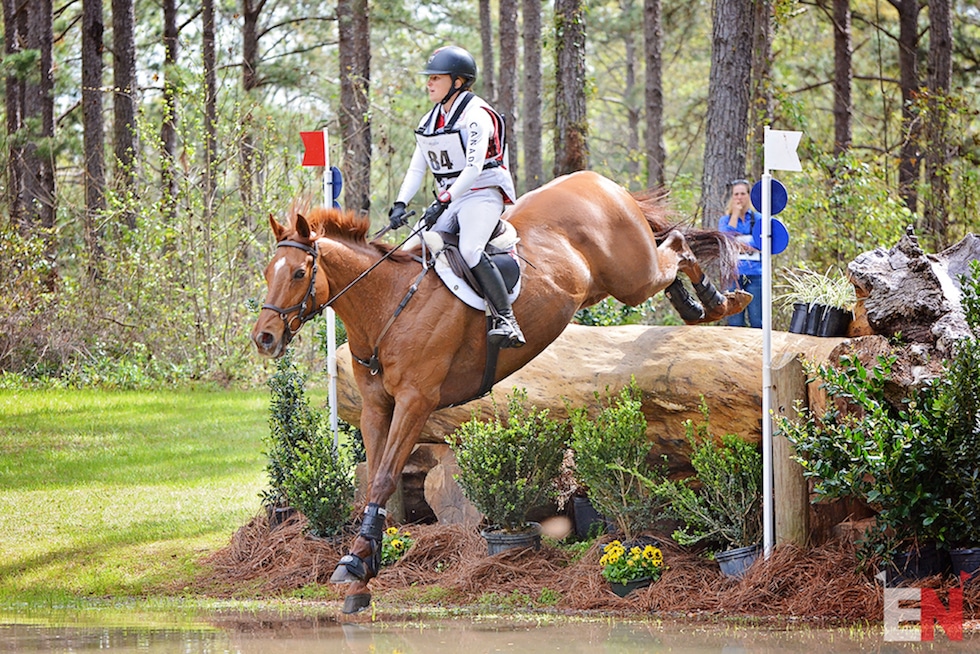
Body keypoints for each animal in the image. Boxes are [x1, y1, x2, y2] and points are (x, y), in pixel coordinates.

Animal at [249, 170, 748, 616]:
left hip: (632, 277)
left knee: (677, 246)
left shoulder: (416, 401)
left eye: (299, 273)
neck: (389, 304)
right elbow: (375, 480)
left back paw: (719, 301)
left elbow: (387, 476)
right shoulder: (376, 407)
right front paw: (361, 574)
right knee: (672, 255)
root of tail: (601, 181)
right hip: (613, 284)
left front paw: (354, 564)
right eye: (268, 272)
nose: (264, 338)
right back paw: (694, 305)